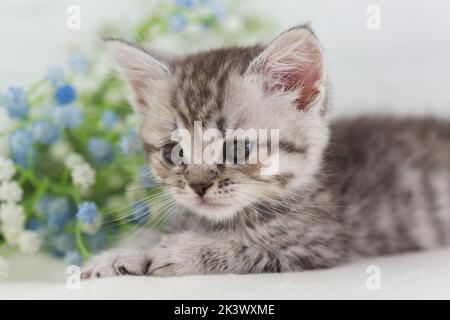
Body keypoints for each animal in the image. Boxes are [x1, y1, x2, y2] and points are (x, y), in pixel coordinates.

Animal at [81, 26, 450, 278]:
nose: (198, 186)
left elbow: (250, 250)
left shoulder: (315, 246)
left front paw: (186, 251)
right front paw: (117, 254)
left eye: (237, 148)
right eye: (175, 152)